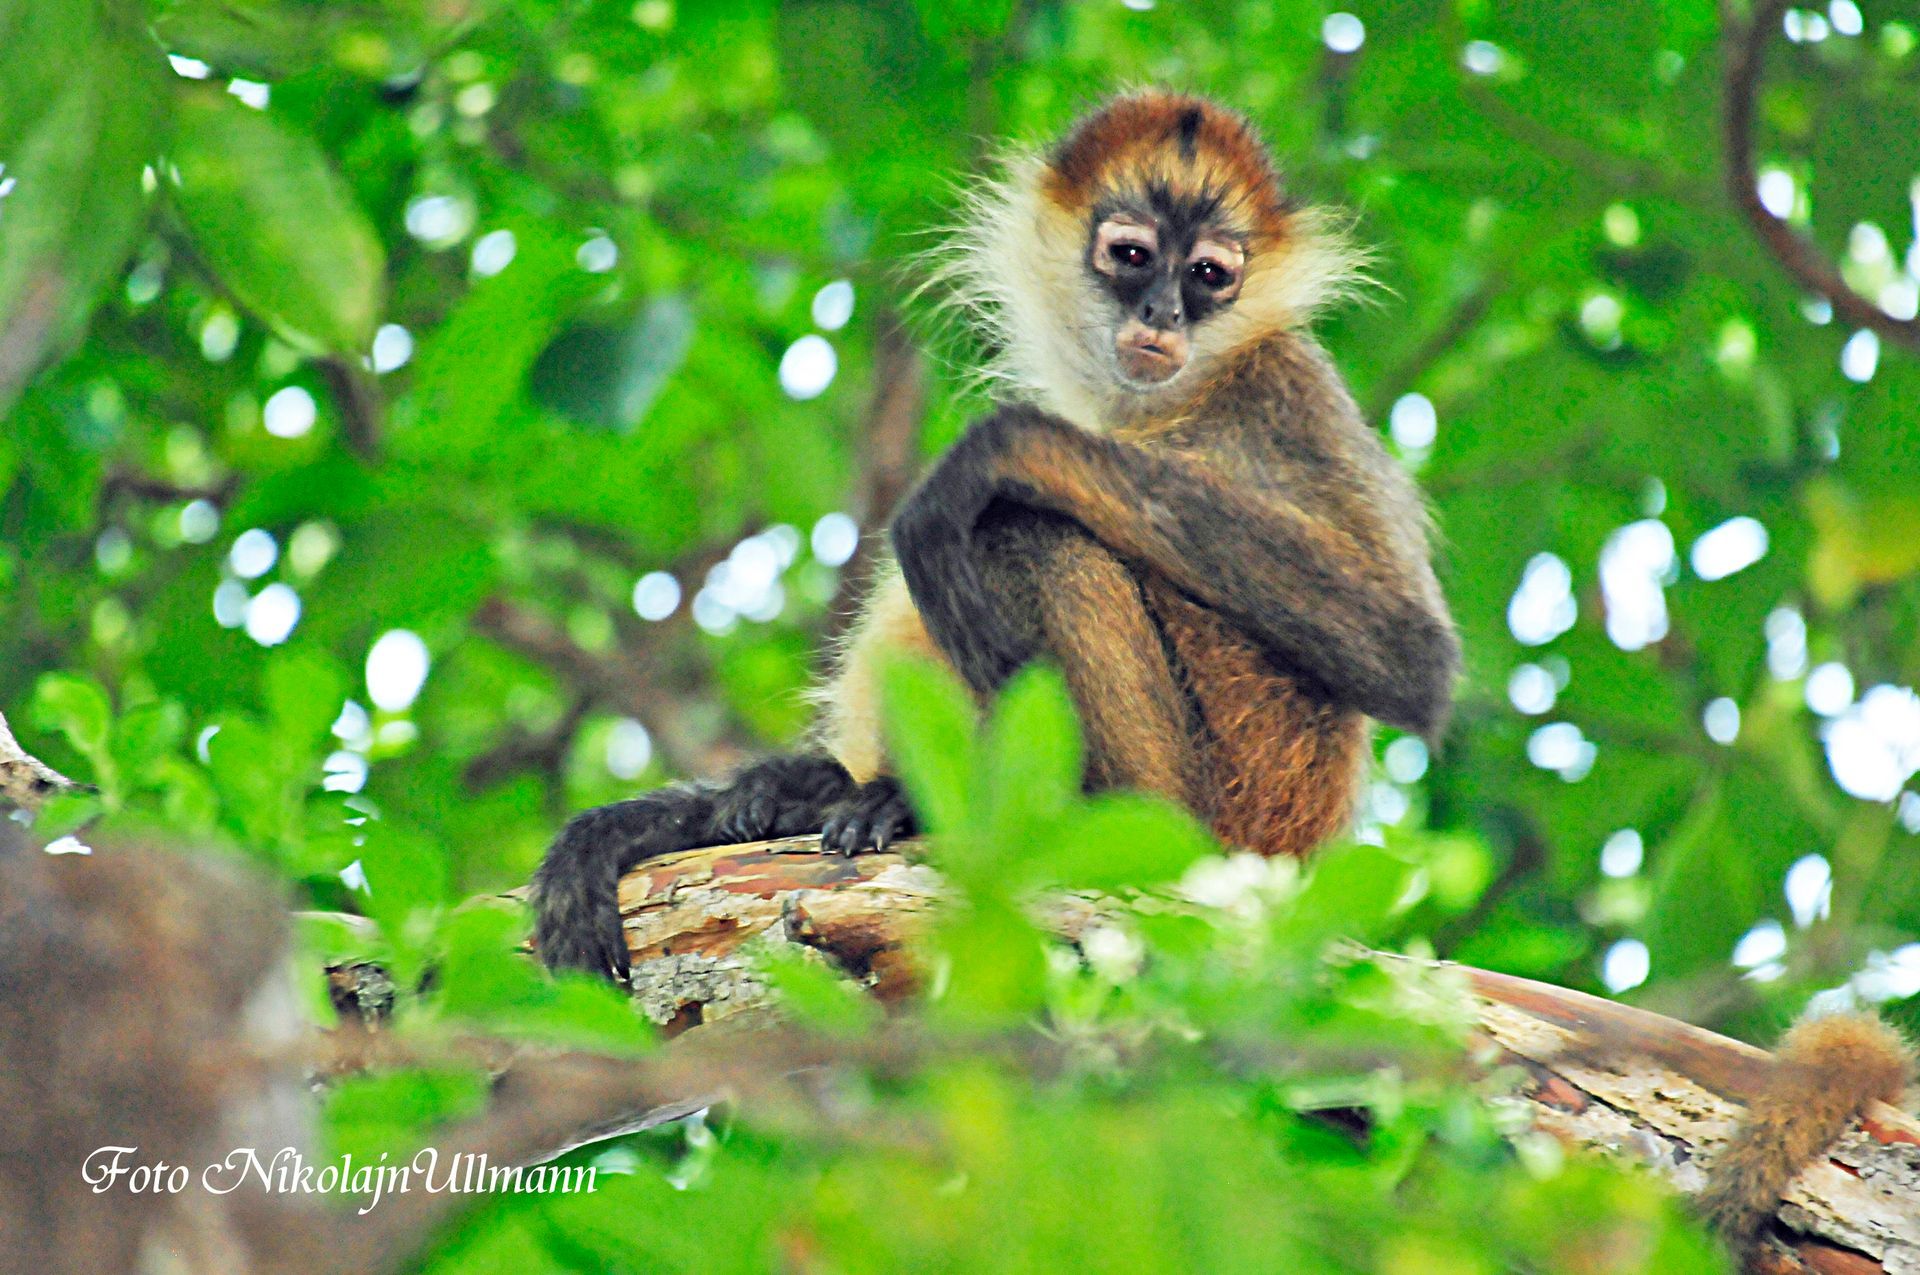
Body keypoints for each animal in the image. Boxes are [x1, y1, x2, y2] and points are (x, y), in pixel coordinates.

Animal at [531, 89, 1461, 981]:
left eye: (1208, 275)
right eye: (1133, 257)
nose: (1164, 311)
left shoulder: (1283, 386)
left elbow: (1410, 658)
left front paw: (991, 450)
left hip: (1187, 818)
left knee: (1018, 528)